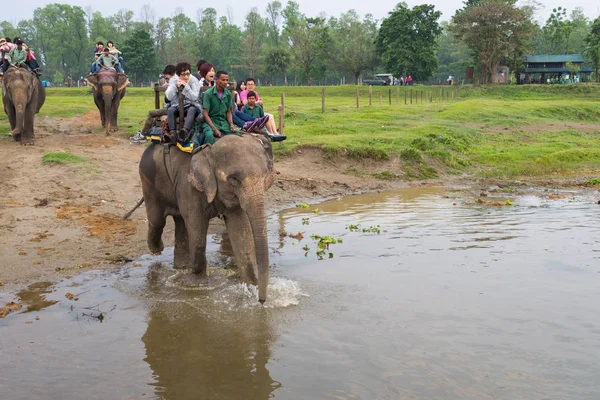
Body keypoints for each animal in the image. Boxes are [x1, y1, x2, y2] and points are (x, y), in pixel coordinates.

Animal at [139, 134, 276, 304]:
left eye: (265, 176)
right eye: (234, 179)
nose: (262, 301)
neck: (210, 149)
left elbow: (240, 231)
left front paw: (250, 287)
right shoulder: (189, 185)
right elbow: (197, 228)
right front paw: (198, 286)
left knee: (180, 221)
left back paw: (182, 267)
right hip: (148, 179)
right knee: (158, 221)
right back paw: (158, 250)